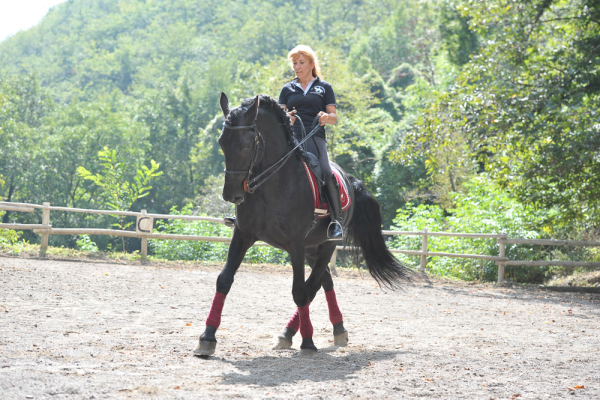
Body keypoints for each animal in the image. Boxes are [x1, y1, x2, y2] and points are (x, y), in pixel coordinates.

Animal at [195, 93, 410, 356]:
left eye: (246, 145)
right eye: (222, 142)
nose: (231, 194)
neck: (272, 184)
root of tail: (349, 179)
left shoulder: (295, 245)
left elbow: (299, 291)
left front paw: (308, 341)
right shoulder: (243, 235)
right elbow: (224, 280)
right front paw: (207, 338)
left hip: (326, 244)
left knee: (313, 285)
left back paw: (299, 332)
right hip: (312, 248)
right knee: (323, 281)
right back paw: (327, 329)